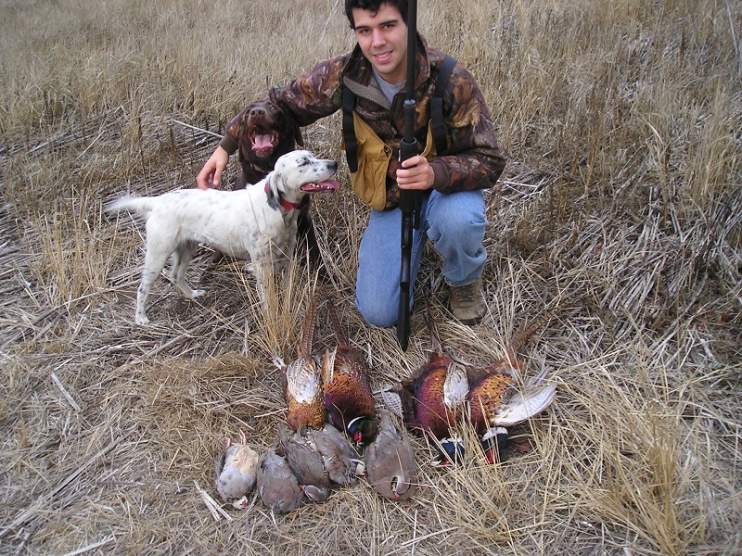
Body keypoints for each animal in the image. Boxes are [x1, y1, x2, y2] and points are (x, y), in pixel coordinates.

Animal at [106, 152, 338, 326]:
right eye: (304, 162)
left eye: (312, 155)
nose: (334, 163)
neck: (277, 209)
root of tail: (157, 202)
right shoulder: (261, 264)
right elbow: (267, 297)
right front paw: (271, 315)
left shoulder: (287, 256)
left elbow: (288, 287)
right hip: (157, 254)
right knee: (142, 288)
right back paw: (141, 318)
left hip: (186, 248)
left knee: (176, 276)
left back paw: (192, 294)